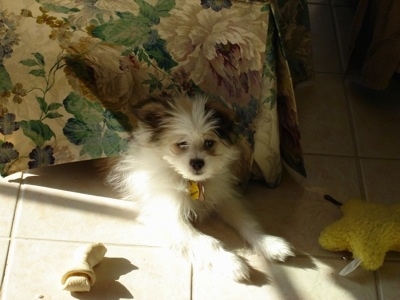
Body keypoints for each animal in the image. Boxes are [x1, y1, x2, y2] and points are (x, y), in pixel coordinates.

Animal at [106, 94, 294, 282]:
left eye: (209, 143)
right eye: (182, 144)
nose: (197, 163)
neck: (192, 182)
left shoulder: (224, 199)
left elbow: (247, 221)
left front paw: (270, 243)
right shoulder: (169, 216)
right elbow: (204, 240)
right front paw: (230, 263)